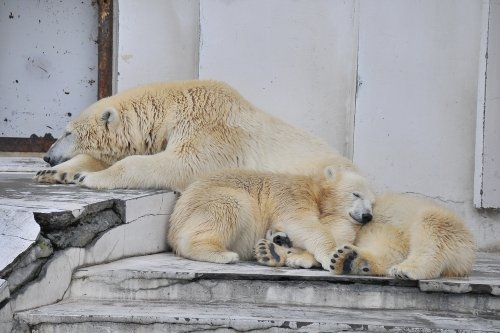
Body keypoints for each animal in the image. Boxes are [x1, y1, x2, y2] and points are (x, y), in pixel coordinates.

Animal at [35, 79, 354, 191]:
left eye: (67, 132)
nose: (47, 156)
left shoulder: (211, 131)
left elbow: (181, 163)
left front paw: (88, 178)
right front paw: (56, 173)